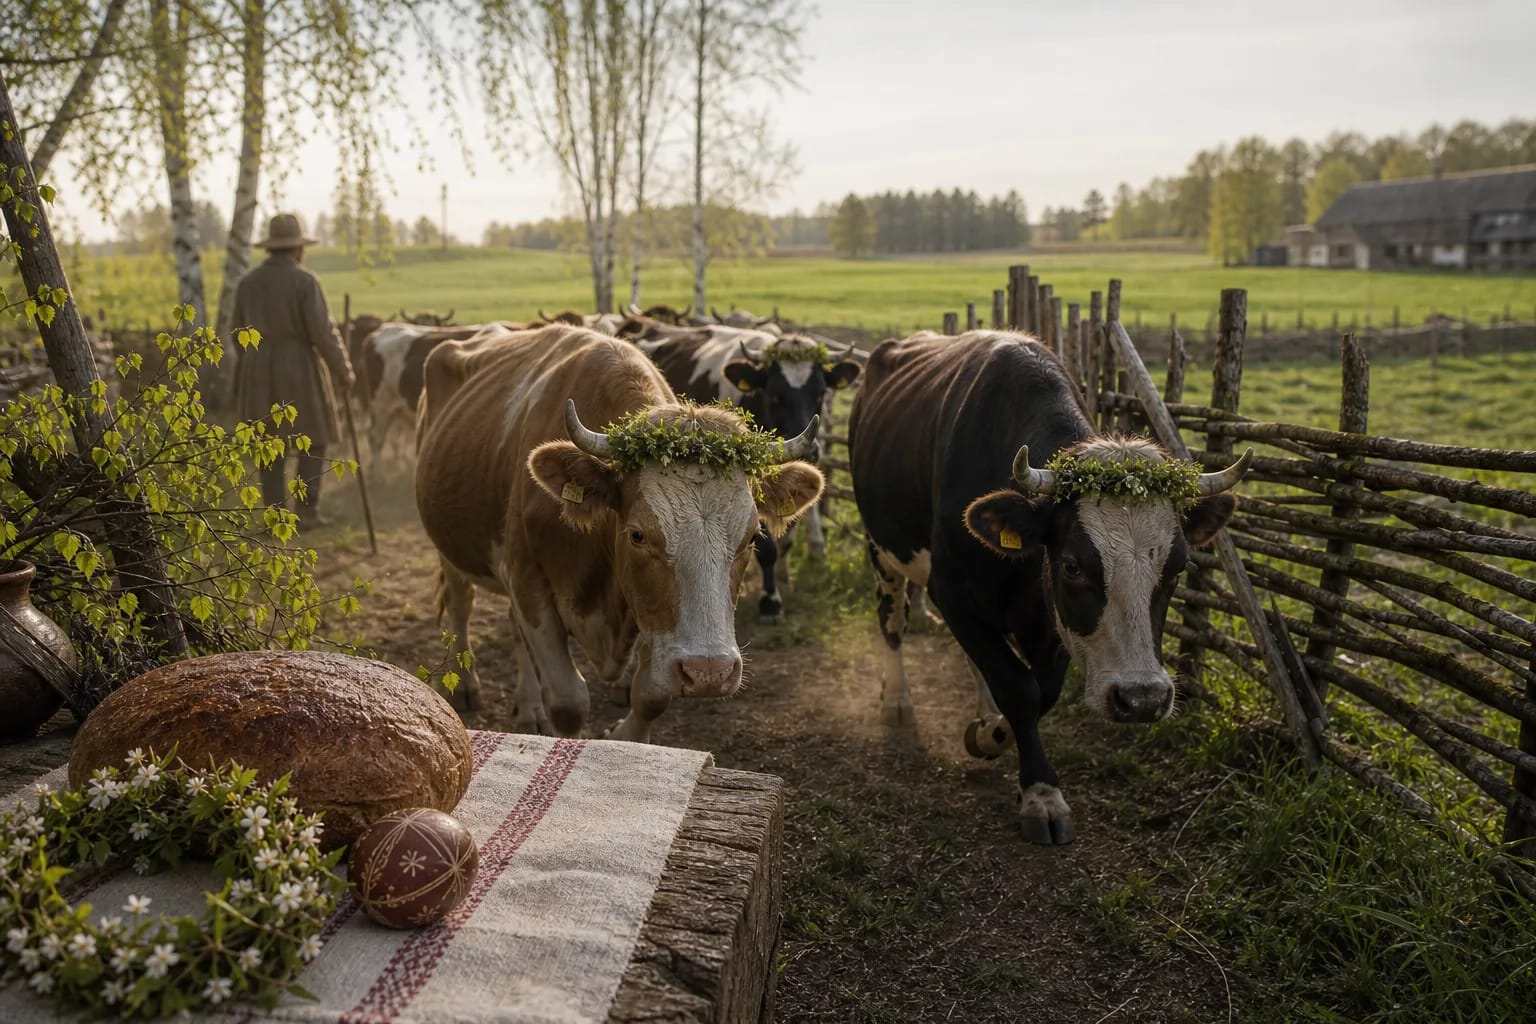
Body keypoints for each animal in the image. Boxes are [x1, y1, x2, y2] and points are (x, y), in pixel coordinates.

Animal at [413, 324, 824, 740]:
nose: (709, 672)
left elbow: (651, 697)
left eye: (752, 536)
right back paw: (474, 687)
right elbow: (568, 702)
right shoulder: (528, 583)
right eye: (638, 535)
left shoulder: (648, 613)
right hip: (452, 549)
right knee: (460, 602)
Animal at [630, 322, 861, 616]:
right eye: (776, 396)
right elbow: (767, 546)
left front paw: (784, 577)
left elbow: (787, 535)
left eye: (820, 393)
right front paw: (770, 600)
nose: (811, 451)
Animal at [848, 330, 1251, 845]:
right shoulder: (951, 592)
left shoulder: (1049, 619)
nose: (1142, 698)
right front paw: (1035, 788)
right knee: (893, 622)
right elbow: (1020, 690)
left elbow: (1042, 691)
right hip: (883, 549)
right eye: (1073, 566)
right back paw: (897, 700)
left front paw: (1001, 738)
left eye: (1178, 567)